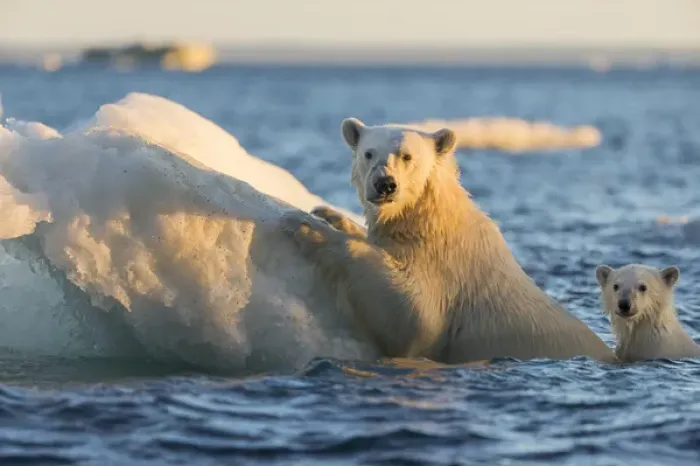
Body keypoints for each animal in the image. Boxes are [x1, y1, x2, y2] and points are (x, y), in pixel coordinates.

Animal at [279, 118, 616, 364]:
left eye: (407, 156)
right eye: (368, 153)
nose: (385, 184)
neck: (432, 220)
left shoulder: (445, 272)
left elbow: (413, 316)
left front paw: (304, 226)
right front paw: (327, 213)